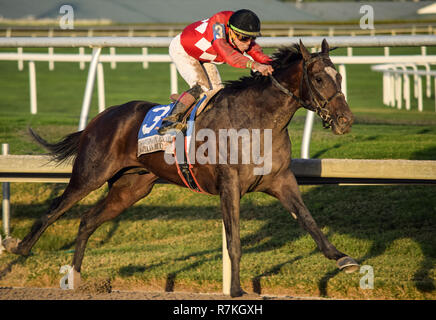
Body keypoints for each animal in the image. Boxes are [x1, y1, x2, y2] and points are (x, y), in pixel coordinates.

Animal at [3, 40, 358, 298]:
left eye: (340, 77)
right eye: (319, 78)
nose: (345, 121)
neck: (257, 121)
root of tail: (99, 118)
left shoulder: (281, 180)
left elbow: (310, 222)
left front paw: (343, 258)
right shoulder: (229, 185)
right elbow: (234, 242)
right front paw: (236, 290)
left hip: (131, 188)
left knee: (87, 220)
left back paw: (76, 277)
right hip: (90, 174)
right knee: (55, 210)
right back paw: (18, 247)